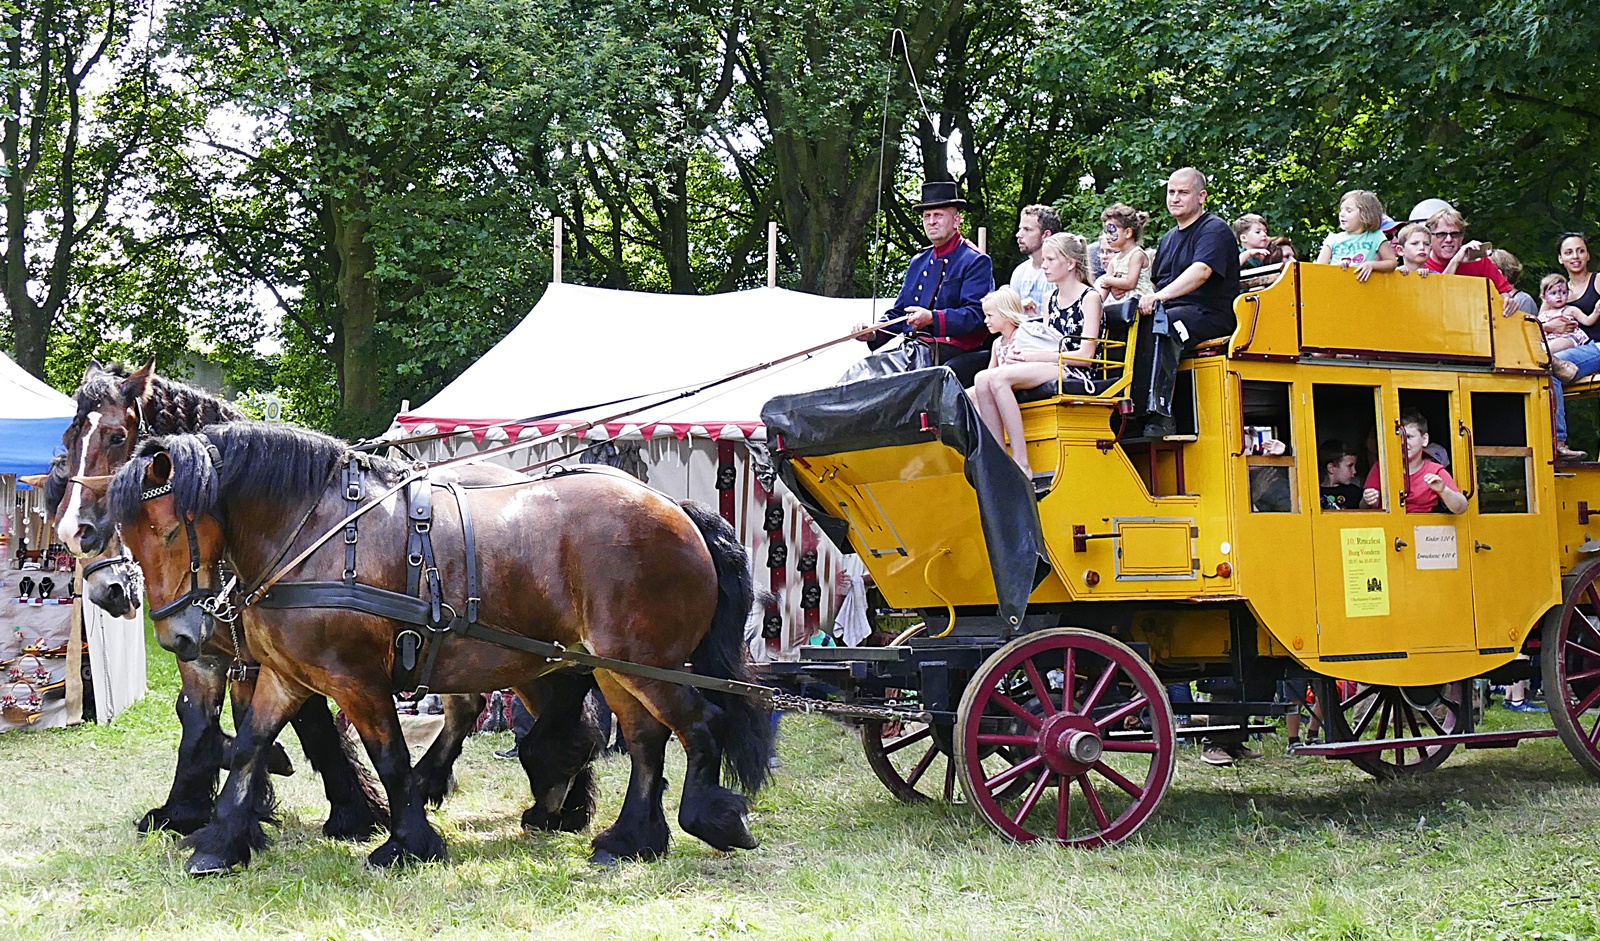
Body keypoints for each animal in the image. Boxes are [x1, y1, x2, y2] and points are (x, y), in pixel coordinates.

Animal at [87, 422, 774, 870]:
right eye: (128, 534)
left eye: (169, 530)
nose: (178, 636)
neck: (312, 534)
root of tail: (676, 506)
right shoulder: (286, 673)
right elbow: (249, 747)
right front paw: (219, 840)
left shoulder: (355, 679)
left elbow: (389, 757)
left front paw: (406, 841)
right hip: (614, 667)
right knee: (644, 741)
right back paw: (629, 837)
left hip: (643, 661)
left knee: (698, 723)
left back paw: (707, 817)